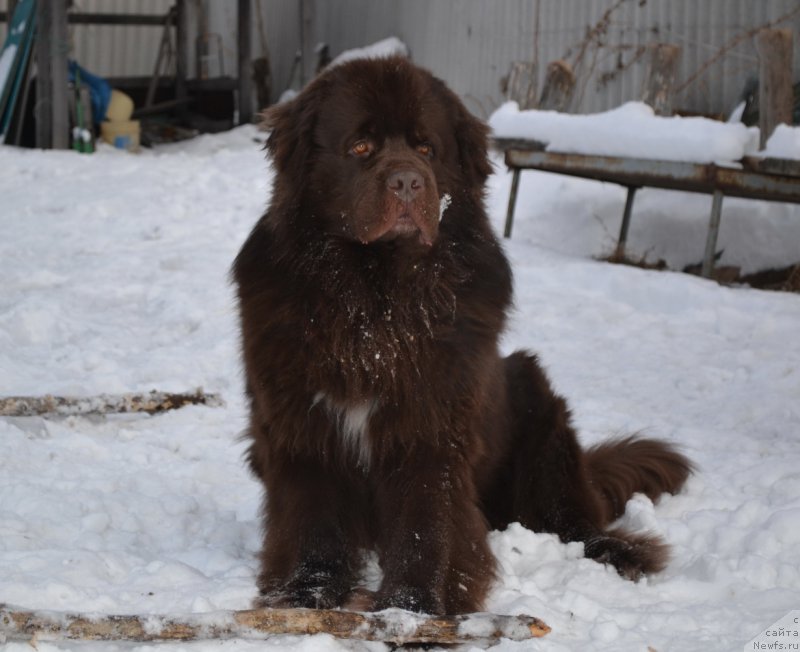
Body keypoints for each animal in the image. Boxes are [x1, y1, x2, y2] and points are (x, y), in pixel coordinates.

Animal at [233, 57, 692, 616]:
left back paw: (617, 550)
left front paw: (412, 608)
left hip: (537, 402)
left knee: (572, 517)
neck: (376, 303)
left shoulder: (432, 424)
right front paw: (305, 596)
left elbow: (425, 521)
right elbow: (312, 519)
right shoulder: (301, 421)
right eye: (360, 147)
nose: (408, 182)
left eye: (427, 148)